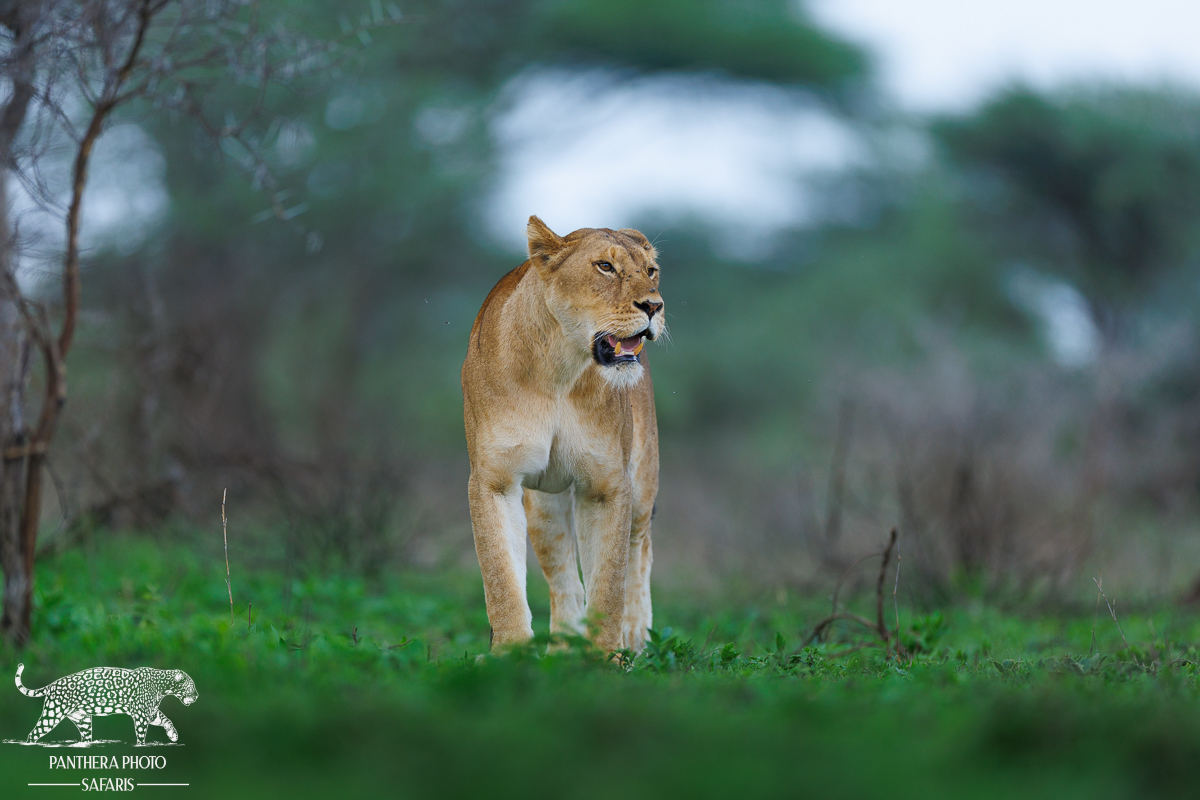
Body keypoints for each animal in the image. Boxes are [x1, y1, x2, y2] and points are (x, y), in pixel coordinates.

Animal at [462, 216, 665, 653]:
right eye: (605, 267)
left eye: (651, 270)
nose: (654, 306)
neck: (559, 368)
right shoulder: (495, 480)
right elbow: (501, 577)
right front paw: (510, 654)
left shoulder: (608, 484)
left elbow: (609, 583)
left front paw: (605, 657)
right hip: (544, 507)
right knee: (564, 576)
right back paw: (563, 651)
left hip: (642, 486)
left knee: (639, 552)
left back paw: (636, 639)